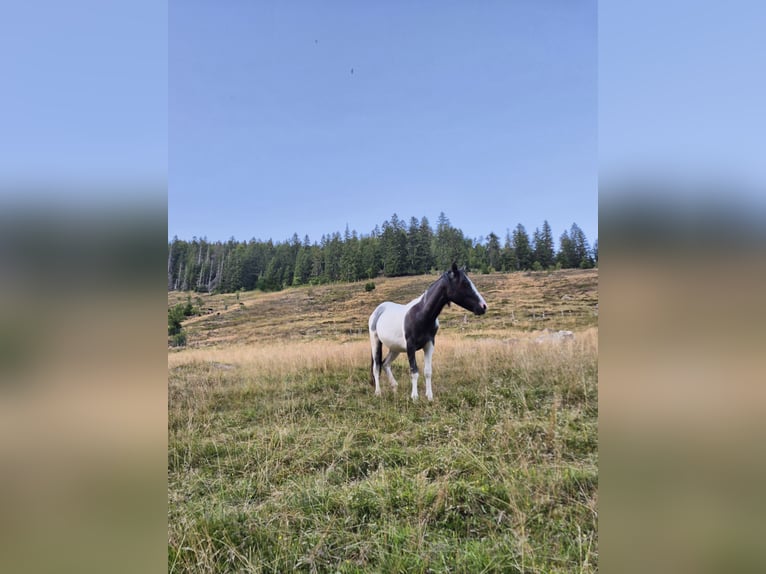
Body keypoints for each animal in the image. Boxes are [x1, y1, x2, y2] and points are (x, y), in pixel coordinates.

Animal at [368, 263, 487, 401]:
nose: (483, 306)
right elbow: (414, 371)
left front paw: (429, 396)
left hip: (395, 348)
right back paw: (378, 392)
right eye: (465, 284)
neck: (421, 314)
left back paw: (394, 388)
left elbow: (428, 371)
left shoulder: (429, 344)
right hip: (375, 342)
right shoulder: (410, 347)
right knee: (377, 366)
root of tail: (378, 310)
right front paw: (414, 397)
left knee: (385, 364)